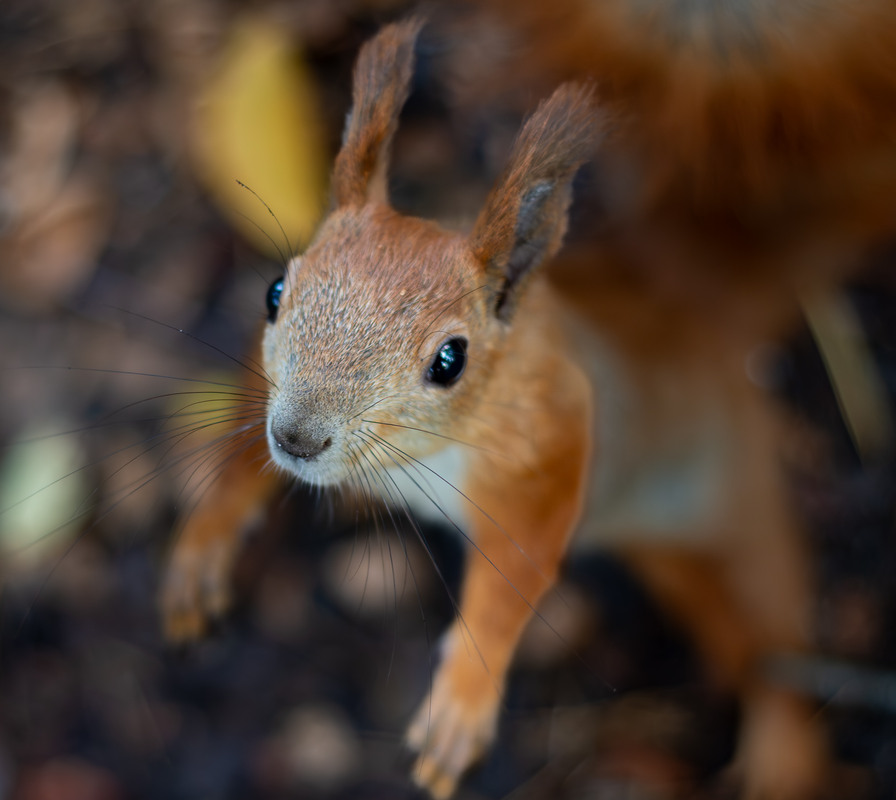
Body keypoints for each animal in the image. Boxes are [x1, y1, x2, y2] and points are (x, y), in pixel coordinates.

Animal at [159, 7, 896, 800]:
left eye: (450, 360)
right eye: (274, 292)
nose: (297, 439)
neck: (410, 459)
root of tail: (681, 306)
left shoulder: (549, 435)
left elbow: (516, 573)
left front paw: (462, 700)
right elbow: (242, 451)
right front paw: (205, 540)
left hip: (723, 505)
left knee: (766, 635)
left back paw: (785, 752)